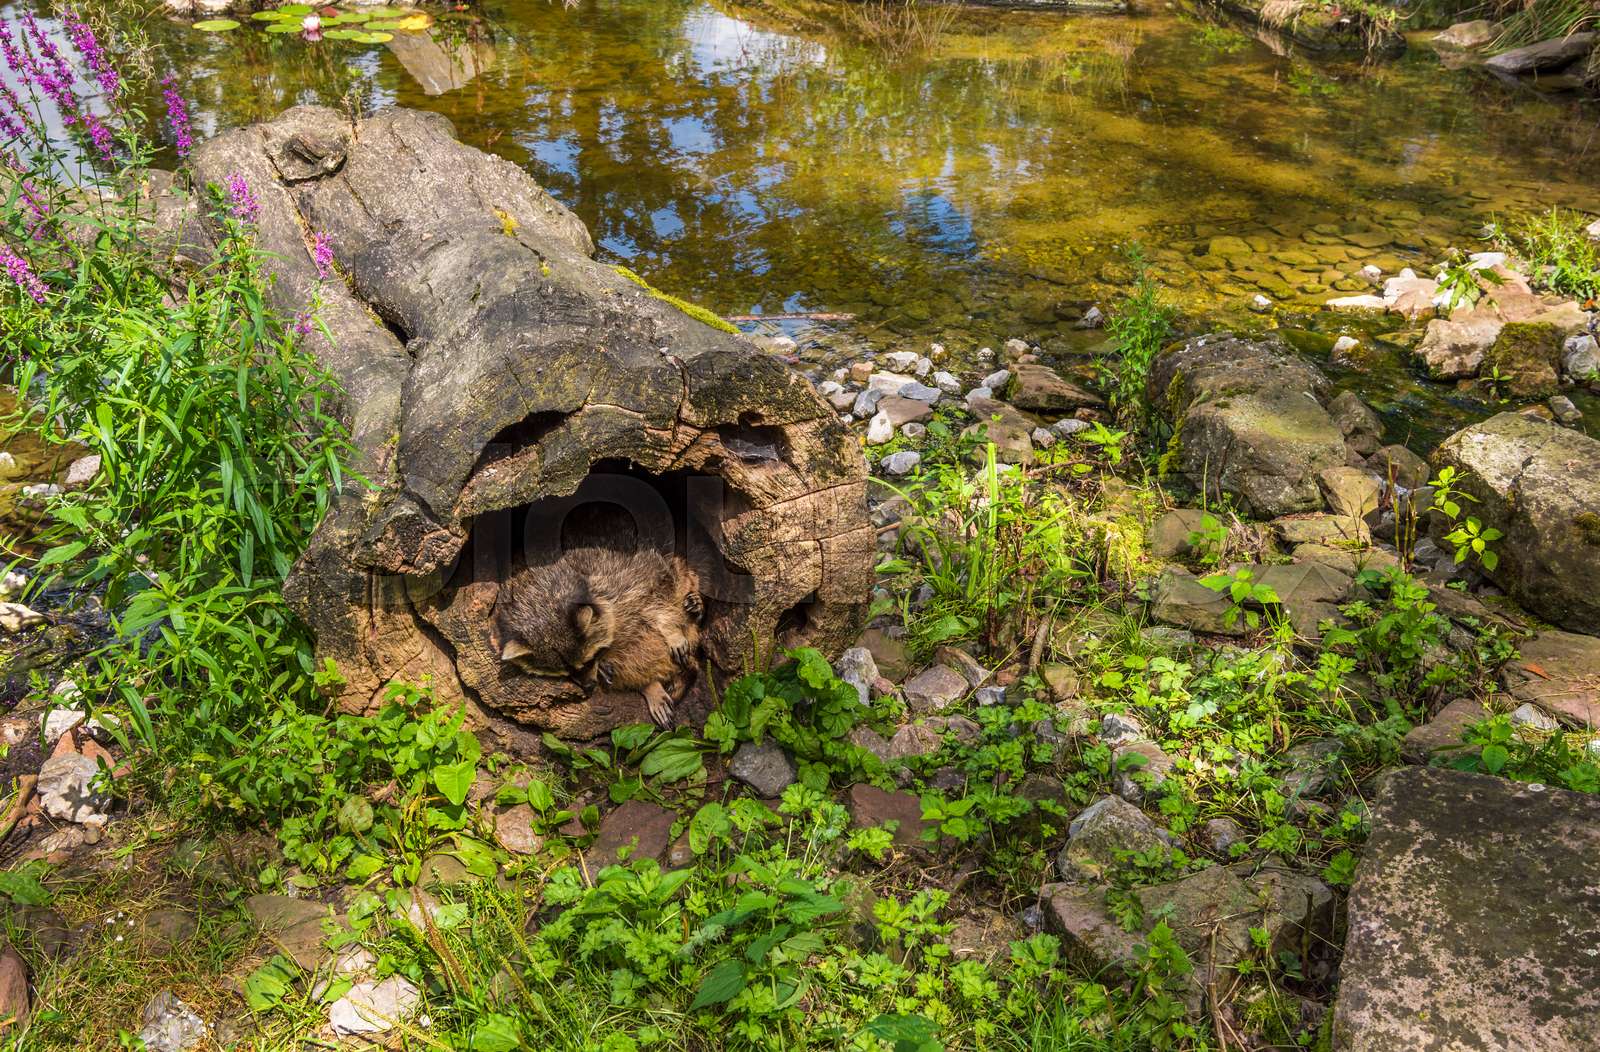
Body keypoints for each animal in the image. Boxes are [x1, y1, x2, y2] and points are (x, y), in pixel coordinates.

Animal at [494, 546, 703, 726]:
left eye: (588, 661)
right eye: (565, 673)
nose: (588, 687)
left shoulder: (630, 579)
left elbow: (656, 600)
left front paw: (671, 630)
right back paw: (649, 684)